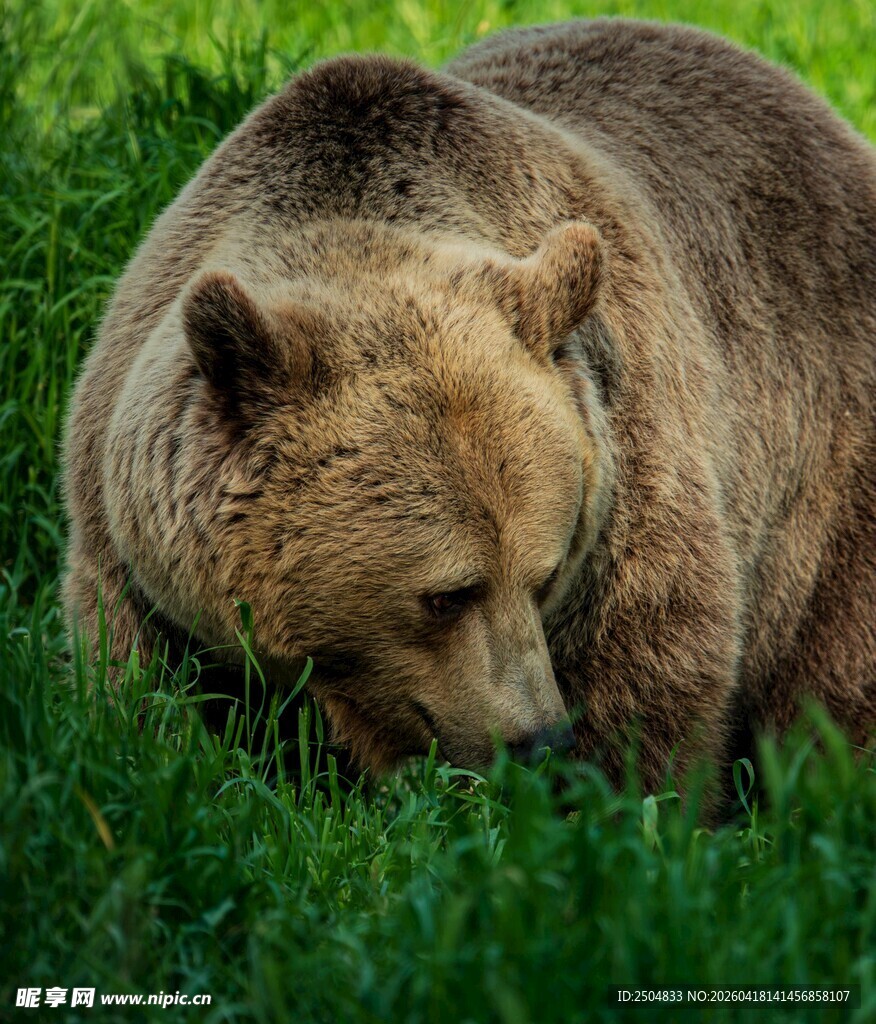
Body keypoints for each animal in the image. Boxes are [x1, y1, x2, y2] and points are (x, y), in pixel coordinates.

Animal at [62, 19, 875, 792]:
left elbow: (652, 678)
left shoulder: (630, 454)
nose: (538, 738)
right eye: (447, 595)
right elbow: (135, 688)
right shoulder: (132, 530)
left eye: (546, 574)